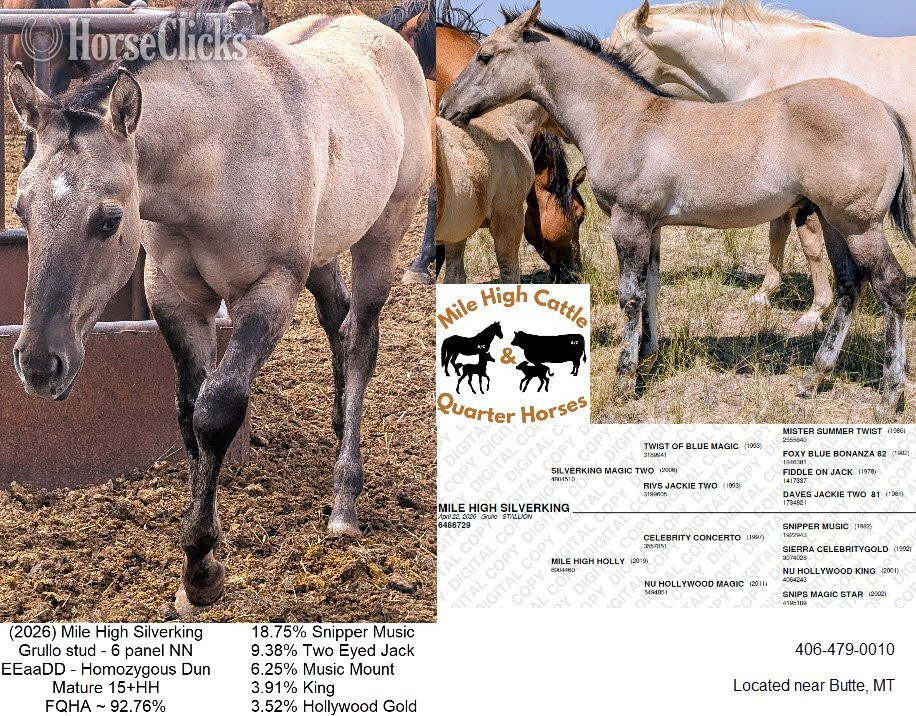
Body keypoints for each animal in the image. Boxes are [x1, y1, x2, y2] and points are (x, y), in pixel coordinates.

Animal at [7, 1, 430, 609]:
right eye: (21, 208)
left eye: (109, 220)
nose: (41, 365)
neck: (220, 156)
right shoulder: (176, 298)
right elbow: (188, 414)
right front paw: (195, 562)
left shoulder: (270, 291)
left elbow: (217, 411)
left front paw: (202, 569)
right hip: (322, 251)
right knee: (337, 318)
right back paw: (334, 423)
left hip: (383, 236)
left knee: (362, 340)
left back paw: (345, 497)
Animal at [608, 0, 916, 336]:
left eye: (618, 49)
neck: (770, 63)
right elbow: (776, 233)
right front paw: (764, 294)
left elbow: (810, 245)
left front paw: (815, 311)